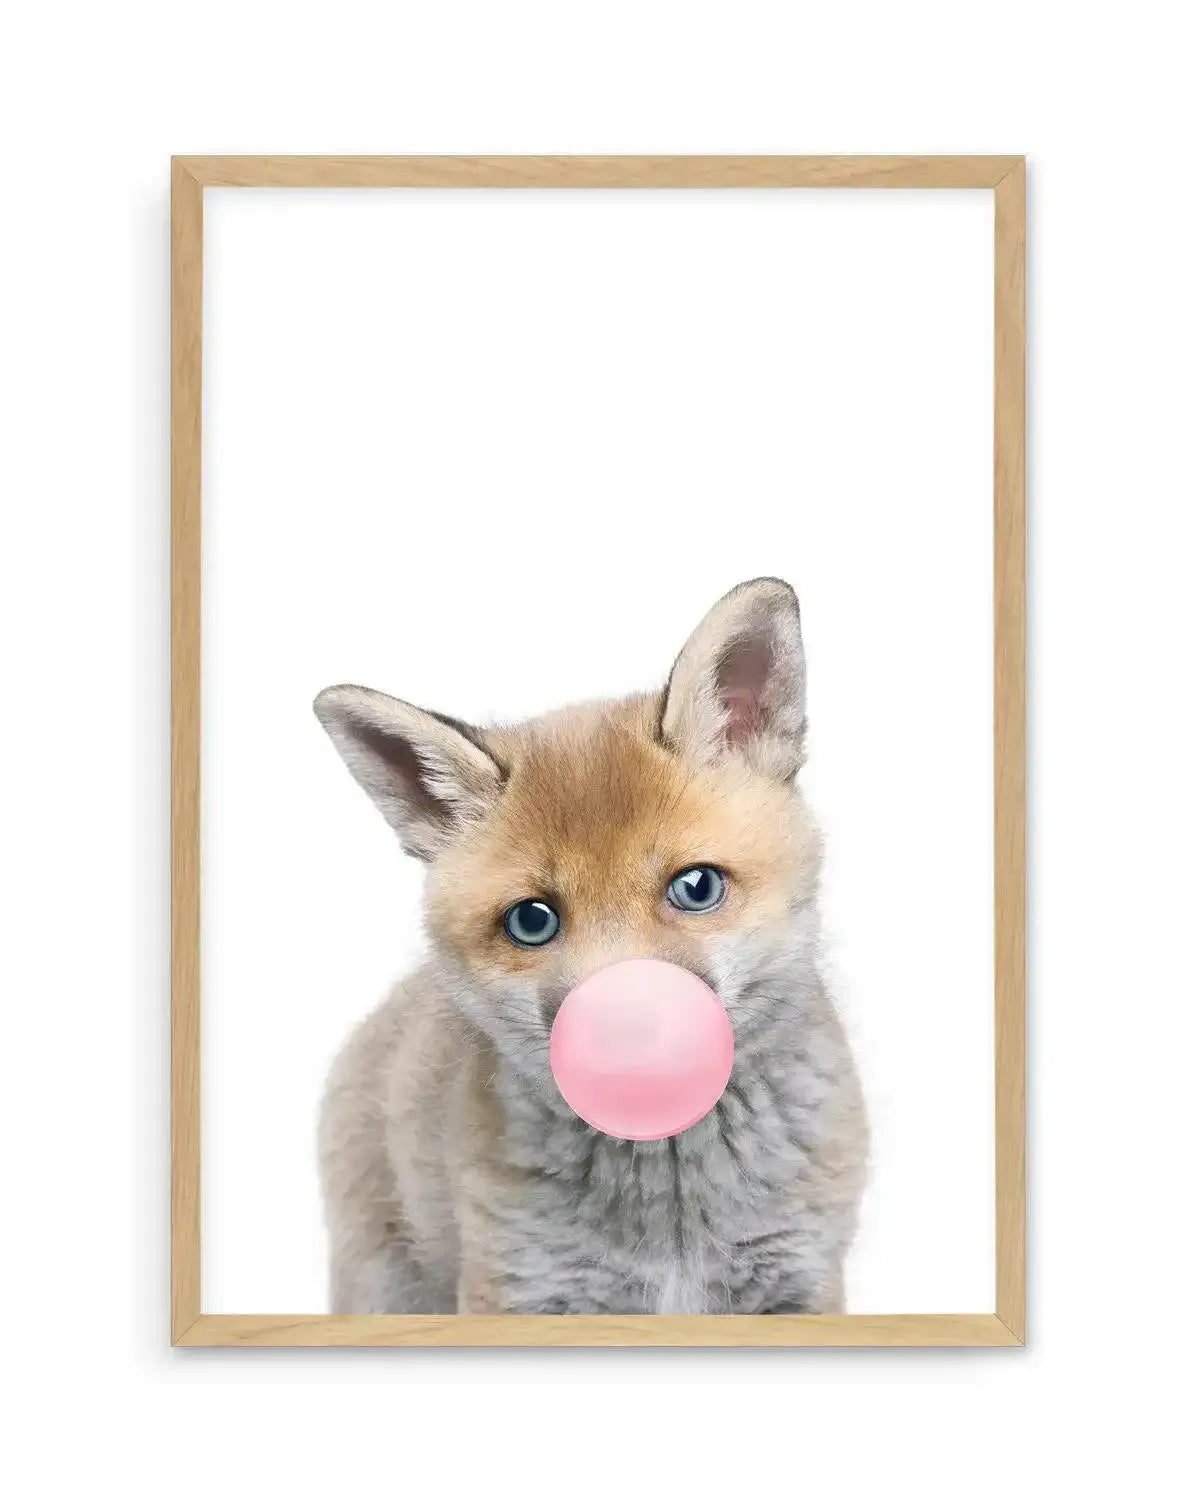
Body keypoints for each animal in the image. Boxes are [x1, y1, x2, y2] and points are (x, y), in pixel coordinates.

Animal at [313, 577, 867, 1315]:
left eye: (696, 887)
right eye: (532, 920)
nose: (624, 1035)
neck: (673, 1228)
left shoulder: (799, 1280)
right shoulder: (521, 1288)